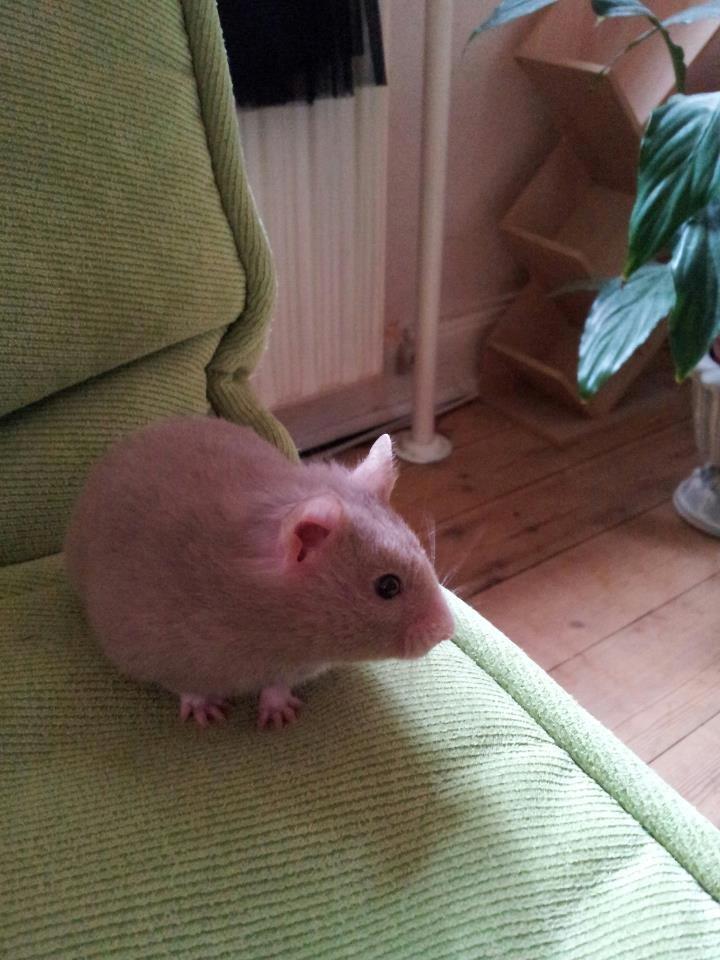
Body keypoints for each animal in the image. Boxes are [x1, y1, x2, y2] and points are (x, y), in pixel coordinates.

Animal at [64, 417, 455, 730]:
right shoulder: (148, 645)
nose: (447, 631)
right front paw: (206, 712)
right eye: (388, 586)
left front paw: (279, 715)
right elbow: (185, 685)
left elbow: (277, 686)